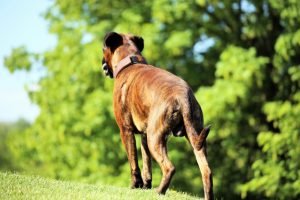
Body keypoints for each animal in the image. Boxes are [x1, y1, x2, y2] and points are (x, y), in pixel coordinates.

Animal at [102, 32, 214, 199]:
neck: (130, 62)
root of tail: (182, 95)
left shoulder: (126, 131)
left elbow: (134, 163)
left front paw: (135, 185)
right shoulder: (143, 135)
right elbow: (146, 163)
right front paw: (145, 186)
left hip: (155, 138)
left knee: (169, 167)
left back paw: (159, 191)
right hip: (193, 136)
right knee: (206, 171)